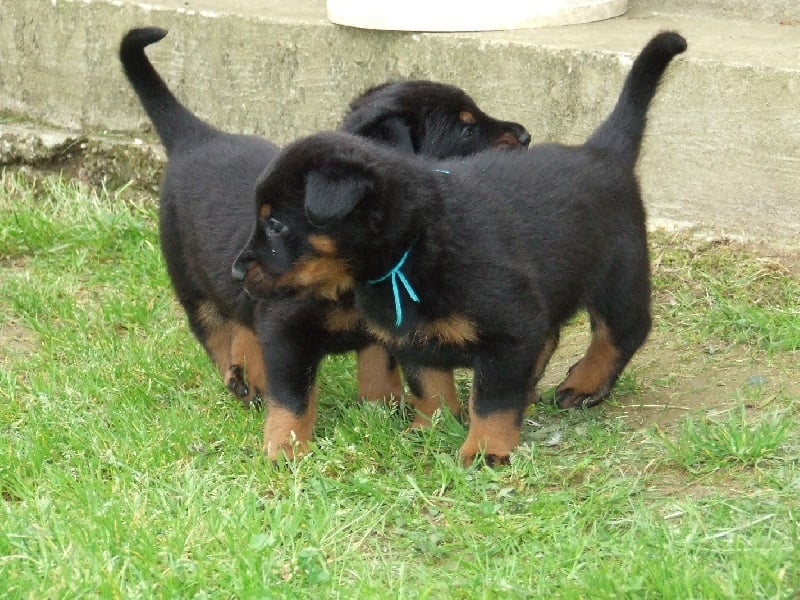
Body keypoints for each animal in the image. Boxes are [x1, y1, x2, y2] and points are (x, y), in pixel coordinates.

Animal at [120, 28, 532, 418]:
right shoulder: (283, 325)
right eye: (466, 129)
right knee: (214, 329)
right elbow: (291, 393)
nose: (526, 134)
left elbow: (378, 366)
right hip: (189, 280)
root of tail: (196, 137)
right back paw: (240, 379)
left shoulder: (380, 328)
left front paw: (384, 409)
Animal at [233, 32, 688, 464]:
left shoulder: (508, 327)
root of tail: (601, 151)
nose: (237, 271)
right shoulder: (390, 331)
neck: (415, 246)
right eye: (466, 129)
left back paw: (585, 383)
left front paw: (487, 449)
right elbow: (420, 384)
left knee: (623, 329)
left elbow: (491, 399)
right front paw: (429, 426)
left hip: (619, 271)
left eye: (275, 224)